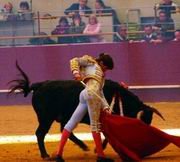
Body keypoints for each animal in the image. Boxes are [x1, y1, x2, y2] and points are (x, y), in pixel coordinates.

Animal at [8, 62, 163, 159]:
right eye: (143, 120)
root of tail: (39, 85)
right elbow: (106, 135)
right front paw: (98, 149)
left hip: (61, 116)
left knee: (64, 129)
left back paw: (83, 146)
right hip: (46, 117)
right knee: (40, 133)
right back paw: (45, 155)